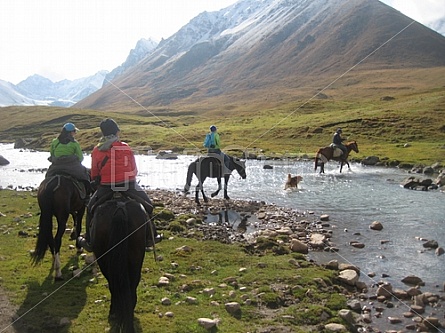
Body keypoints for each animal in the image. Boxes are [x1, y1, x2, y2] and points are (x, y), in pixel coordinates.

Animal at [91, 193, 147, 330]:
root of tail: (120, 208)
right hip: (136, 258)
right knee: (131, 283)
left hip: (104, 260)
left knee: (114, 284)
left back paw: (116, 312)